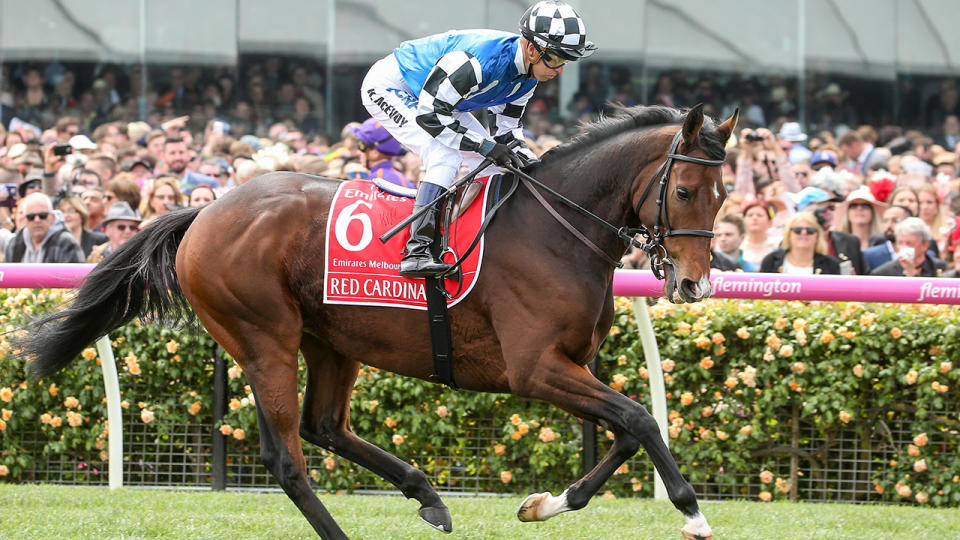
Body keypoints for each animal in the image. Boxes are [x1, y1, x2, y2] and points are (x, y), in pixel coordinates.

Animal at [13, 103, 736, 536]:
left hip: (332, 339)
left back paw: (427, 494)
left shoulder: (571, 364)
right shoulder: (533, 369)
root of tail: (205, 211)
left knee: (325, 426)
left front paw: (544, 504)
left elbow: (625, 431)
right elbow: (639, 419)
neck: (555, 228)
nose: (694, 283)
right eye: (683, 190)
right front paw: (693, 513)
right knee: (288, 457)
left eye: (726, 192)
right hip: (263, 337)